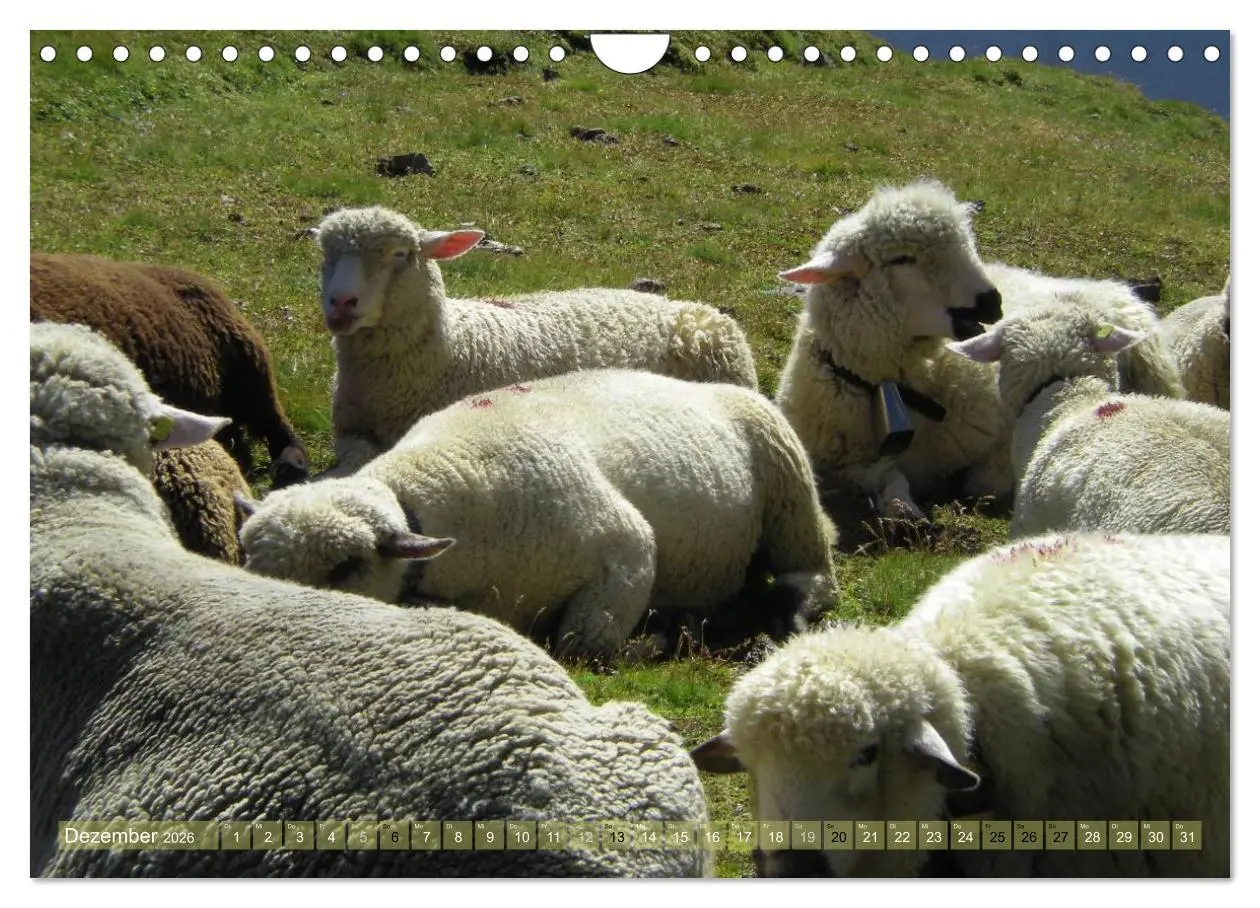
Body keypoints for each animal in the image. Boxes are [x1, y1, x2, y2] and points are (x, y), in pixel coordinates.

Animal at [239, 368, 838, 659]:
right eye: (247, 560)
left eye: (344, 568)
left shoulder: (625, 550)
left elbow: (582, 647)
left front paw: (660, 638)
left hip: (790, 492)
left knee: (814, 576)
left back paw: (781, 617)